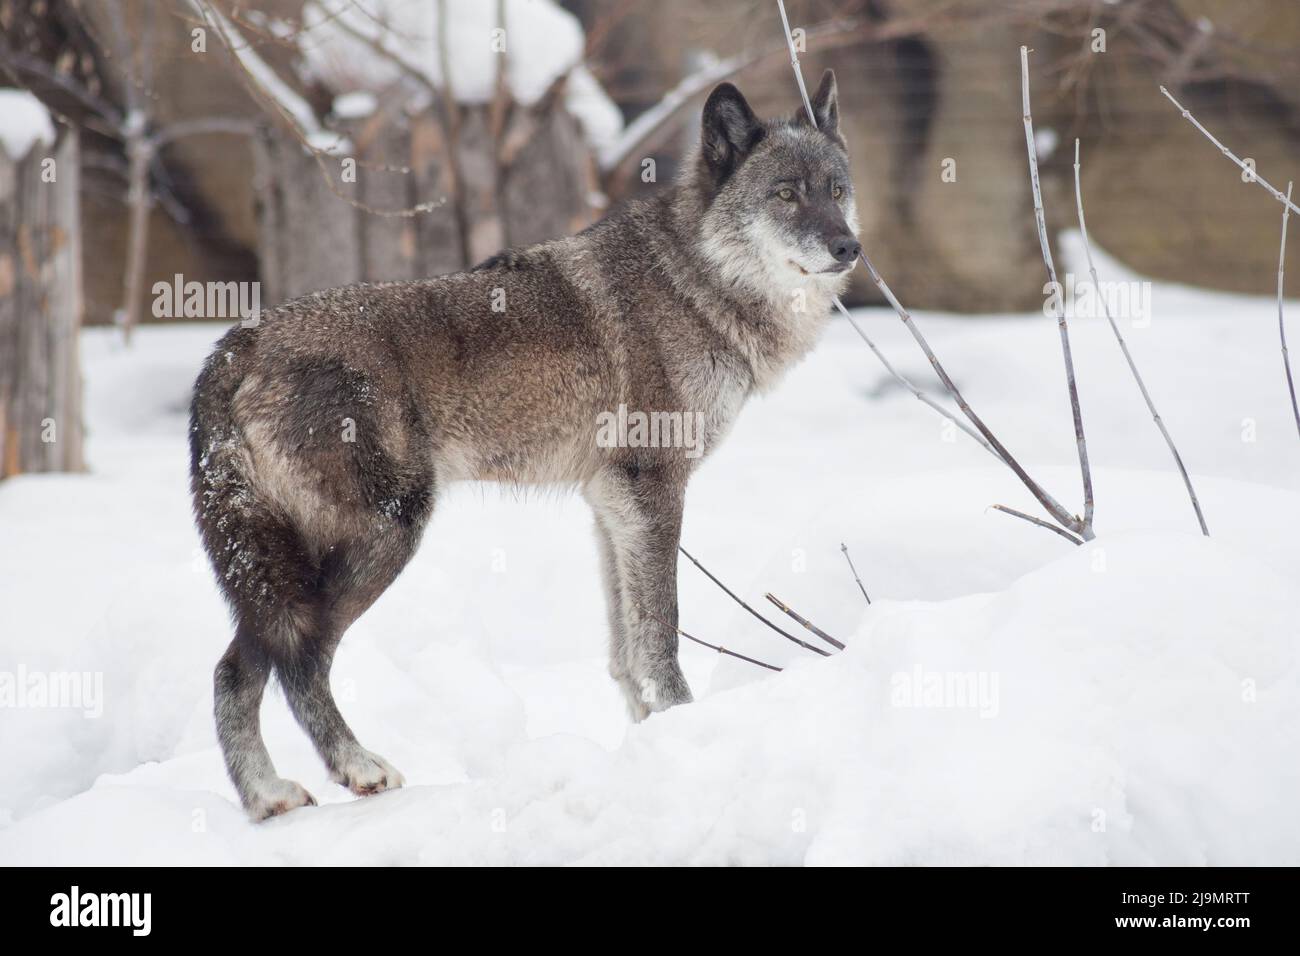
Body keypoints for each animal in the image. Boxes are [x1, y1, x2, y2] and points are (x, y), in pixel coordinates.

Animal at [190, 70, 860, 820]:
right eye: (785, 194)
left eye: (836, 189)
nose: (848, 248)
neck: (694, 284)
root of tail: (235, 345)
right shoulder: (654, 490)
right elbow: (660, 633)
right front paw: (683, 728)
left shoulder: (611, 506)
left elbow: (626, 649)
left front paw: (649, 744)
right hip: (381, 537)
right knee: (301, 662)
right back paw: (358, 767)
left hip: (281, 569)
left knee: (234, 668)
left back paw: (266, 795)